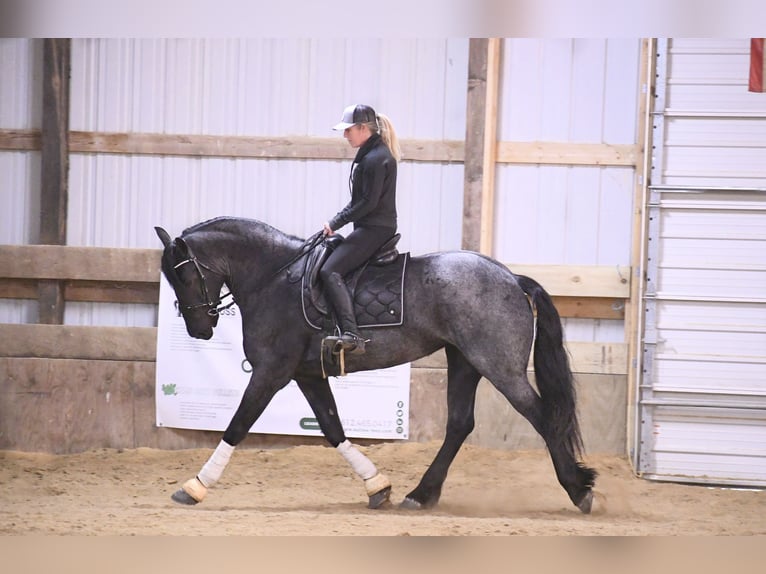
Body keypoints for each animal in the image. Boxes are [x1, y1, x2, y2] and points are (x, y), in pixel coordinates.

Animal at [158, 218, 600, 516]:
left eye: (183, 276)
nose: (199, 330)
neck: (276, 277)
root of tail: (511, 278)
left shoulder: (271, 373)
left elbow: (236, 426)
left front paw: (194, 487)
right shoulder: (307, 375)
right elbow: (333, 428)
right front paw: (377, 487)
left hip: (499, 366)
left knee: (542, 417)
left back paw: (579, 489)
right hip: (464, 360)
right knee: (460, 423)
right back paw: (420, 495)